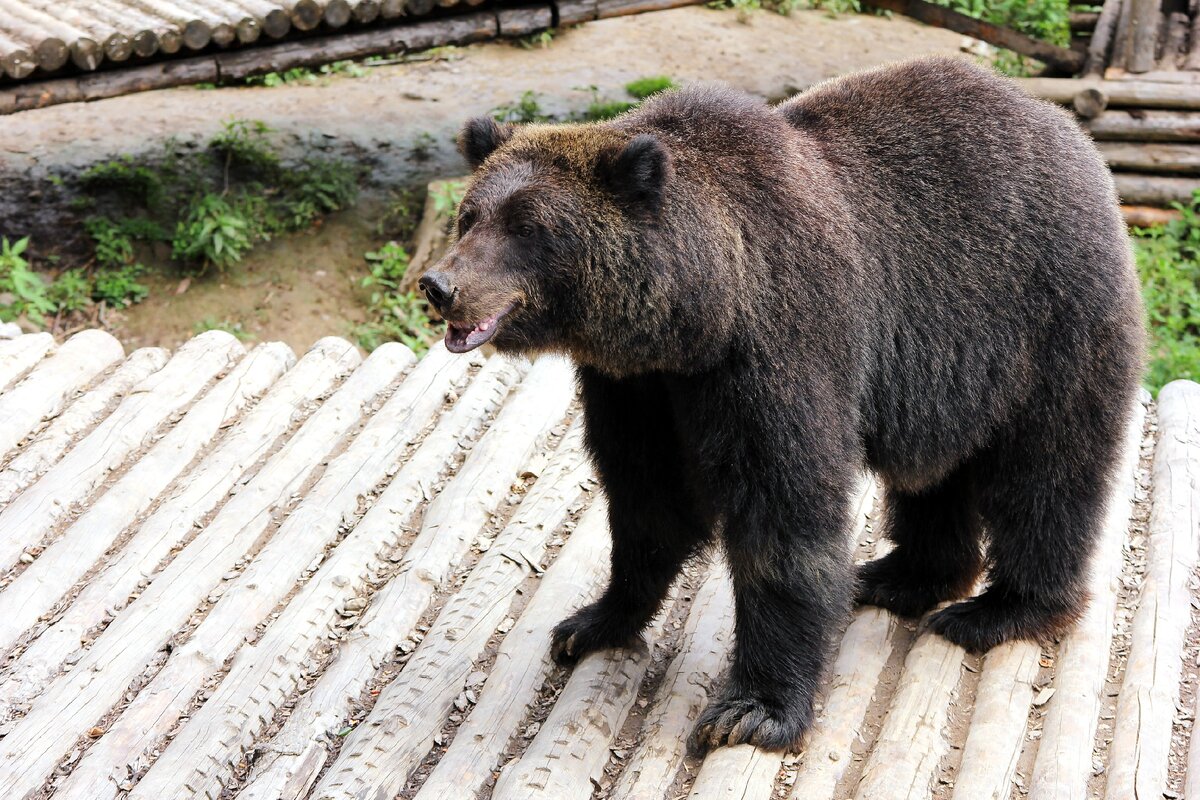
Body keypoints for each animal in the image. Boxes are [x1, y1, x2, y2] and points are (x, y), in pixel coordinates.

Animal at [420, 57, 1142, 758]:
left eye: (528, 226)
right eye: (471, 215)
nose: (439, 284)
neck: (695, 320)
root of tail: (1066, 130)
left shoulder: (778, 345)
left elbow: (782, 513)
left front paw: (753, 710)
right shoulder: (638, 387)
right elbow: (645, 498)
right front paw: (591, 622)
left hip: (1046, 316)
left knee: (1047, 472)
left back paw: (999, 610)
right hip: (951, 375)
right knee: (934, 476)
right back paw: (899, 575)